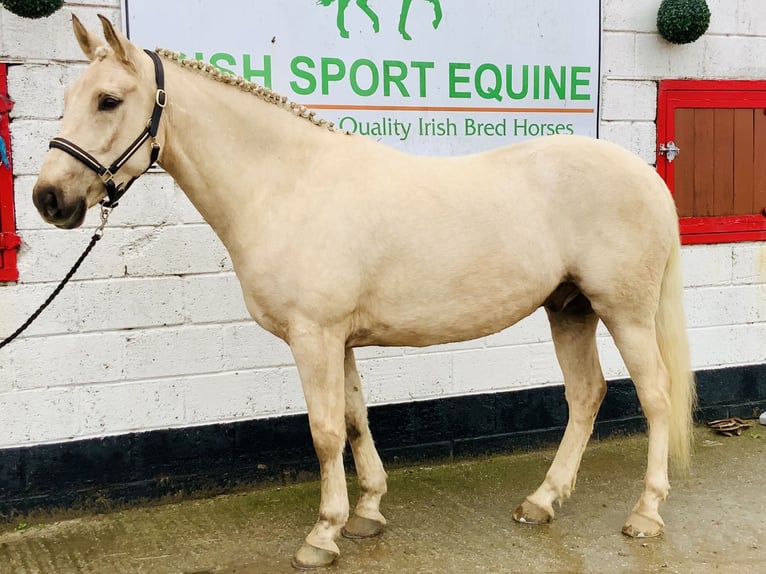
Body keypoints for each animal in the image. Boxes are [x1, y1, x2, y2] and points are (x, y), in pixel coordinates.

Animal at [32, 15, 695, 570]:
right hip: (569, 309)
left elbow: (324, 431)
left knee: (656, 396)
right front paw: (367, 514)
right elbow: (354, 420)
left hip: (625, 312)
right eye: (64, 99)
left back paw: (645, 514)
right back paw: (542, 501)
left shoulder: (314, 336)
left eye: (109, 100)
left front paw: (322, 535)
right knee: (586, 395)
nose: (48, 200)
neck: (287, 184)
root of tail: (645, 175)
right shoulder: (340, 339)